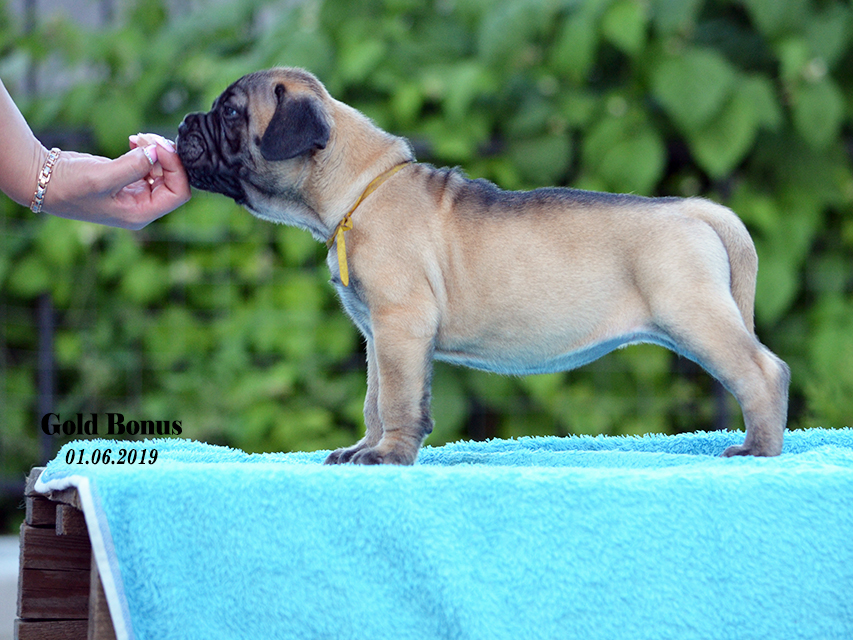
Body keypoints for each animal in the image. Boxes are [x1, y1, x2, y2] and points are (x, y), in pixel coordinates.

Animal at [176, 66, 788, 464]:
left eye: (230, 113)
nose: (182, 123)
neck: (360, 191)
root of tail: (694, 208)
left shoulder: (400, 324)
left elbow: (396, 398)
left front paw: (387, 457)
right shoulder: (379, 335)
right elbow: (375, 399)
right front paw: (363, 449)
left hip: (694, 315)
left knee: (763, 372)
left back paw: (759, 450)